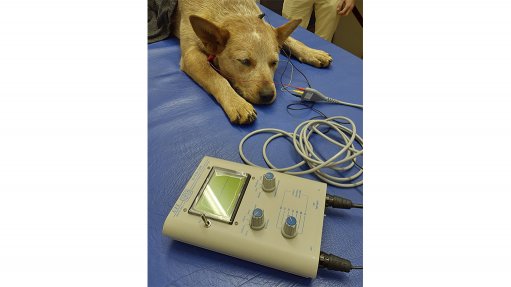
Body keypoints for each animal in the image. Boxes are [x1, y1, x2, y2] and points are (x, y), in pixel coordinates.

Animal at [173, 0, 332, 125]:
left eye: (274, 62)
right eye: (245, 61)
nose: (268, 95)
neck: (233, 10)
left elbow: (291, 40)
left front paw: (312, 53)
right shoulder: (190, 55)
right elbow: (216, 78)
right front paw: (236, 103)